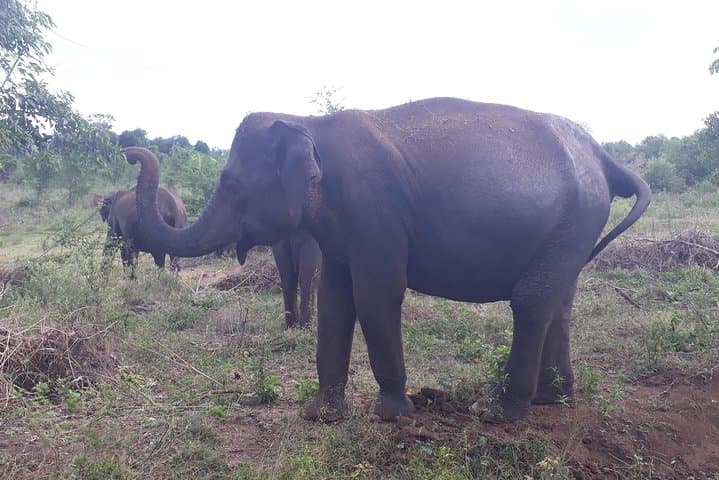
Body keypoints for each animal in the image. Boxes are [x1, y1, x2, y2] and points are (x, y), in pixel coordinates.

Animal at [124, 97, 650, 423]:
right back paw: (552, 402)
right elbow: (336, 299)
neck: (307, 122)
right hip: (574, 226)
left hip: (577, 217)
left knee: (532, 300)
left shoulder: (373, 209)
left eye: (232, 184)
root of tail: (604, 158)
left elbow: (377, 294)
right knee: (559, 302)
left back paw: (499, 412)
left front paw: (394, 414)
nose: (129, 150)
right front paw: (321, 415)